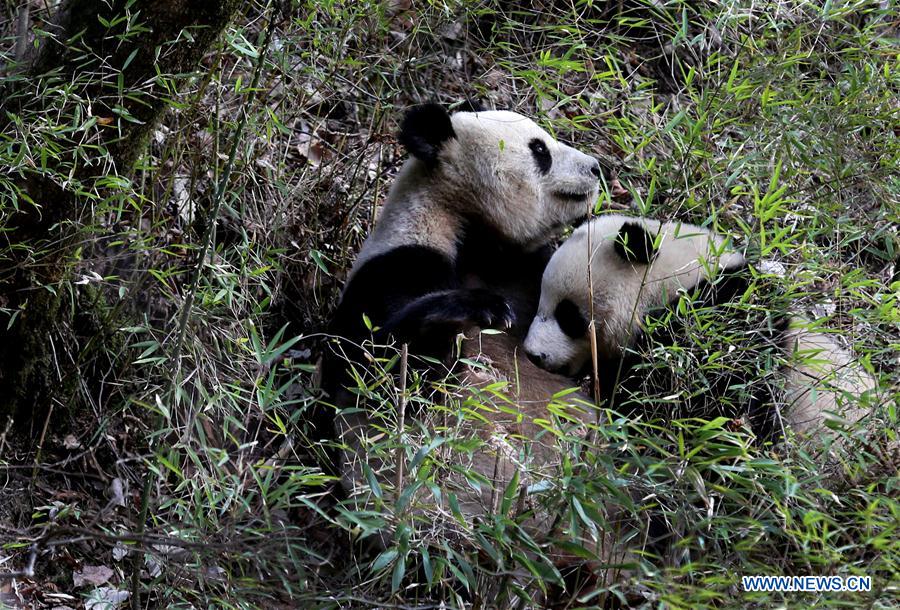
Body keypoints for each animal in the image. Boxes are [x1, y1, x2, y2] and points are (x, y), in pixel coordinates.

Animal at [321, 103, 603, 534]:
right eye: (540, 149)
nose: (597, 167)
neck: (467, 226)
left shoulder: (526, 270)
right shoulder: (395, 265)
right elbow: (377, 366)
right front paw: (481, 309)